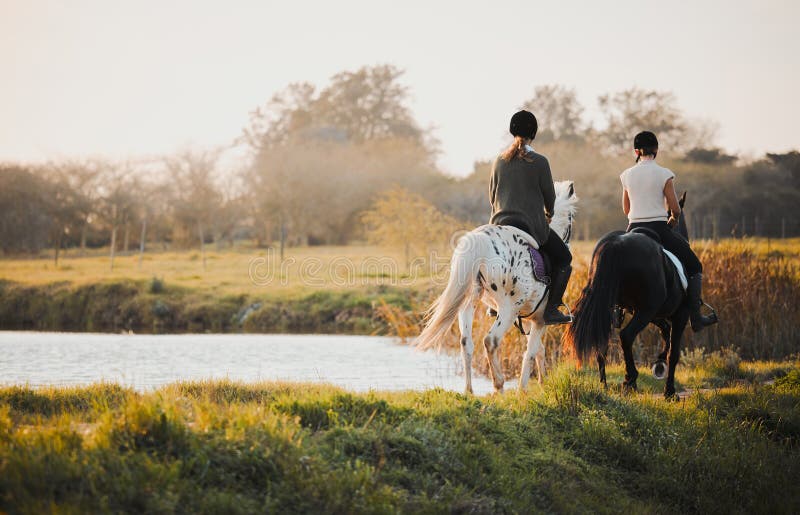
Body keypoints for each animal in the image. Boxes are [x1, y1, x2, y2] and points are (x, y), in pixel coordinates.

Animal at [416, 179, 580, 394]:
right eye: (571, 218)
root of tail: (480, 240)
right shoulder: (539, 320)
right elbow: (531, 353)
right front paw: (523, 391)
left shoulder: (530, 319)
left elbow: (539, 350)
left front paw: (543, 382)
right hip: (508, 310)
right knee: (491, 341)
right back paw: (499, 386)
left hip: (469, 301)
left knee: (466, 342)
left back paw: (469, 392)